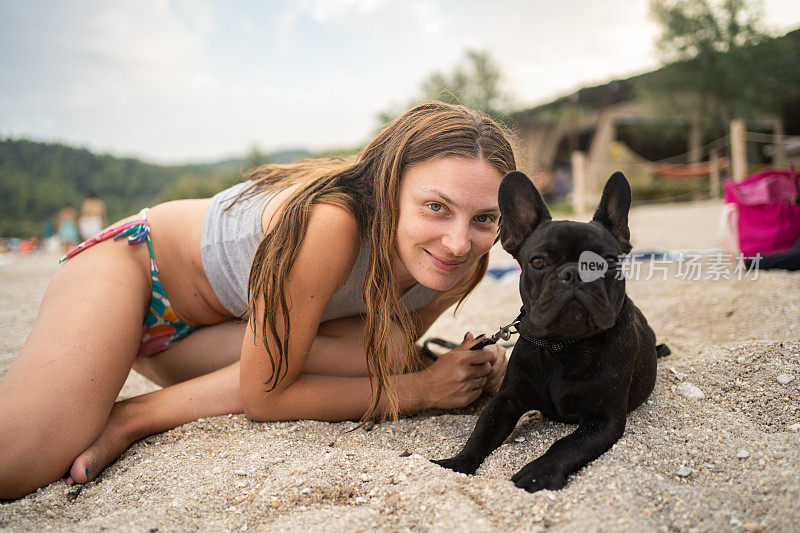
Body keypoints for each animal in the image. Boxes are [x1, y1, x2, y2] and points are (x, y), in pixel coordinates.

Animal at [434, 170, 664, 490]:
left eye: (609, 262)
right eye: (538, 262)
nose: (574, 273)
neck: (565, 345)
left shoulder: (604, 419)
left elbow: (567, 445)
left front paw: (537, 473)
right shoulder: (506, 400)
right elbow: (481, 432)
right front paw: (456, 464)